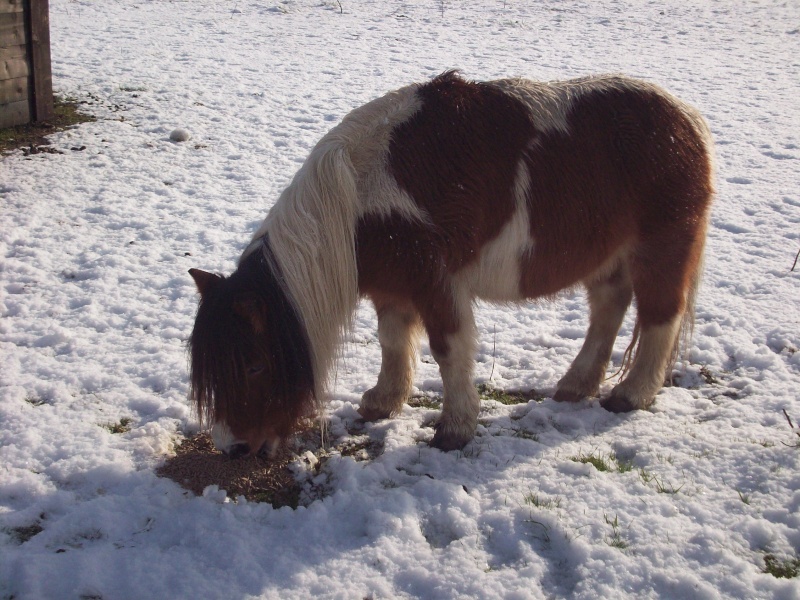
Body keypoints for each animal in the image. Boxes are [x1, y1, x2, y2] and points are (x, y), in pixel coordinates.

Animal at [191, 71, 716, 454]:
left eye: (254, 365)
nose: (234, 448)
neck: (357, 195)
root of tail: (687, 119)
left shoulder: (435, 282)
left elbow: (448, 349)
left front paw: (455, 429)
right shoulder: (392, 287)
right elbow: (392, 342)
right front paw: (383, 402)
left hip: (662, 248)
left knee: (659, 317)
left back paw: (630, 395)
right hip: (607, 258)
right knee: (609, 311)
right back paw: (575, 386)